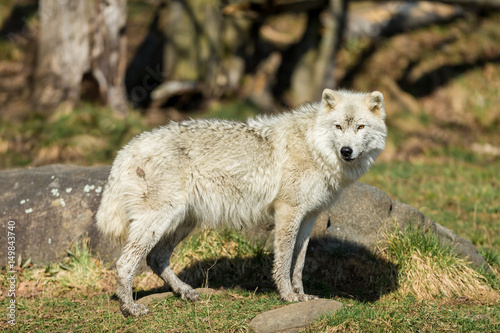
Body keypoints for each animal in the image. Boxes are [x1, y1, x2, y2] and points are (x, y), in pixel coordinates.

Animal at [96, 87, 386, 314]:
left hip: (183, 222)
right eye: (339, 127)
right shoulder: (287, 212)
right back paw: (130, 309)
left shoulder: (309, 216)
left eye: (360, 127)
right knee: (125, 264)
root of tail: (125, 150)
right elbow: (284, 261)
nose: (346, 151)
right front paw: (287, 296)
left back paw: (186, 292)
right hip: (159, 221)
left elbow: (299, 262)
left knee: (156, 259)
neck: (314, 147)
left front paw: (302, 295)